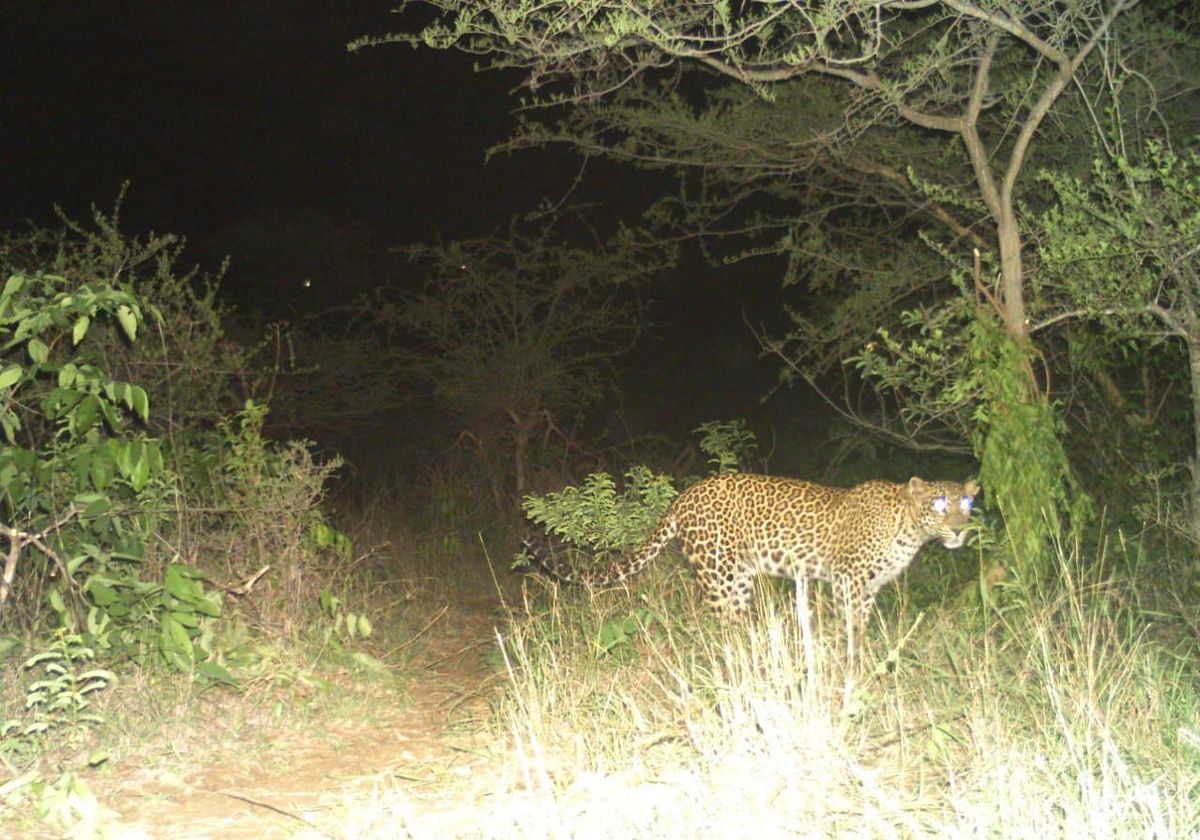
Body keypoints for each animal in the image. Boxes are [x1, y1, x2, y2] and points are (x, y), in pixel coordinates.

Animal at [530, 475, 979, 648]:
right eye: (940, 506)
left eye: (967, 505)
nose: (960, 530)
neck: (908, 529)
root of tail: (684, 495)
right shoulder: (847, 578)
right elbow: (849, 621)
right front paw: (849, 653)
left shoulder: (868, 585)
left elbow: (863, 622)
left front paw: (862, 649)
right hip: (716, 570)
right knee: (717, 618)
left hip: (740, 574)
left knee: (734, 614)